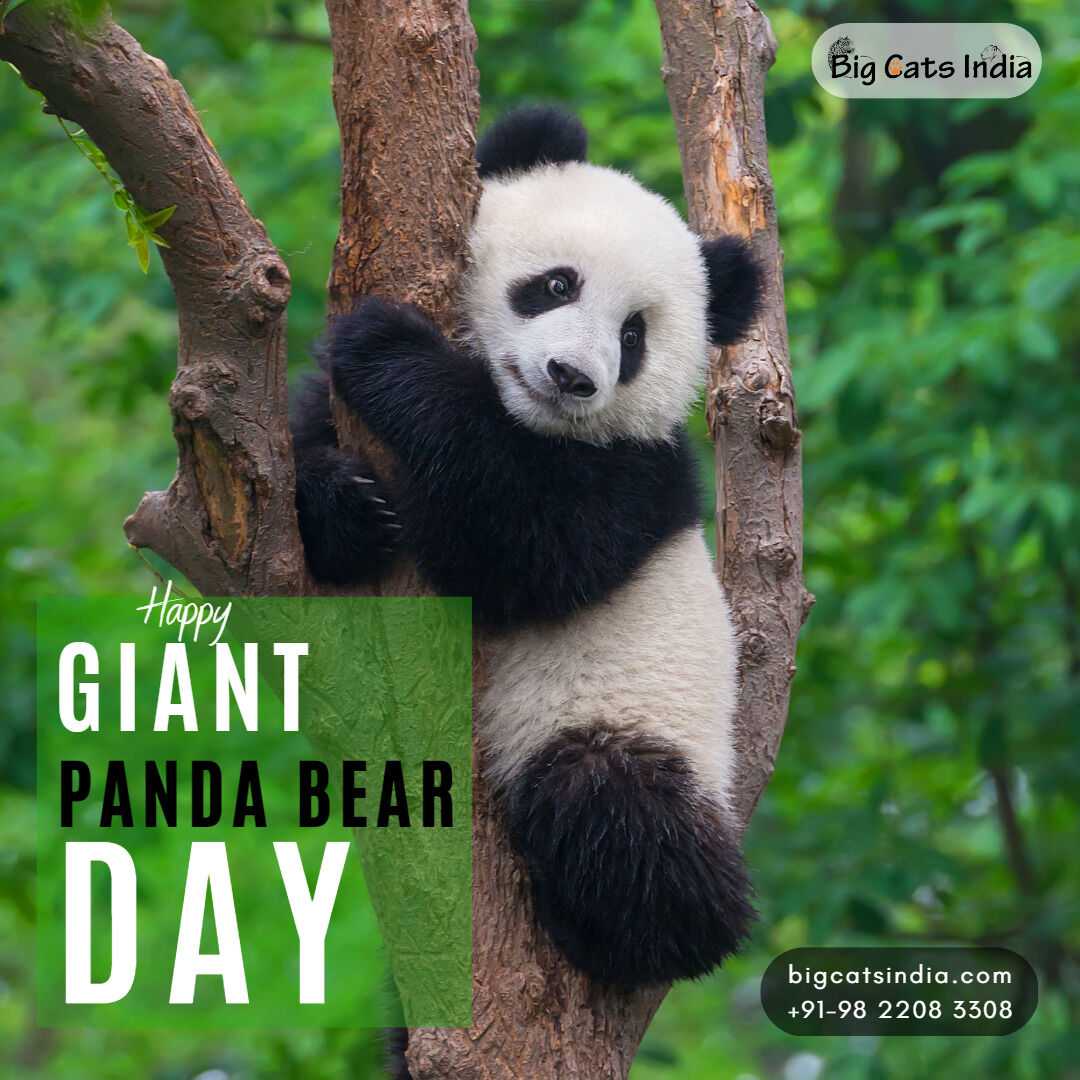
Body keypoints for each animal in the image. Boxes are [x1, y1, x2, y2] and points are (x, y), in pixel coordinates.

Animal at [292, 105, 762, 989]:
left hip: (630, 722)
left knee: (619, 813)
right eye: (556, 285)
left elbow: (522, 549)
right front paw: (345, 508)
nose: (572, 376)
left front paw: (387, 348)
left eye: (634, 335)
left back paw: (634, 932)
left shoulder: (637, 477)